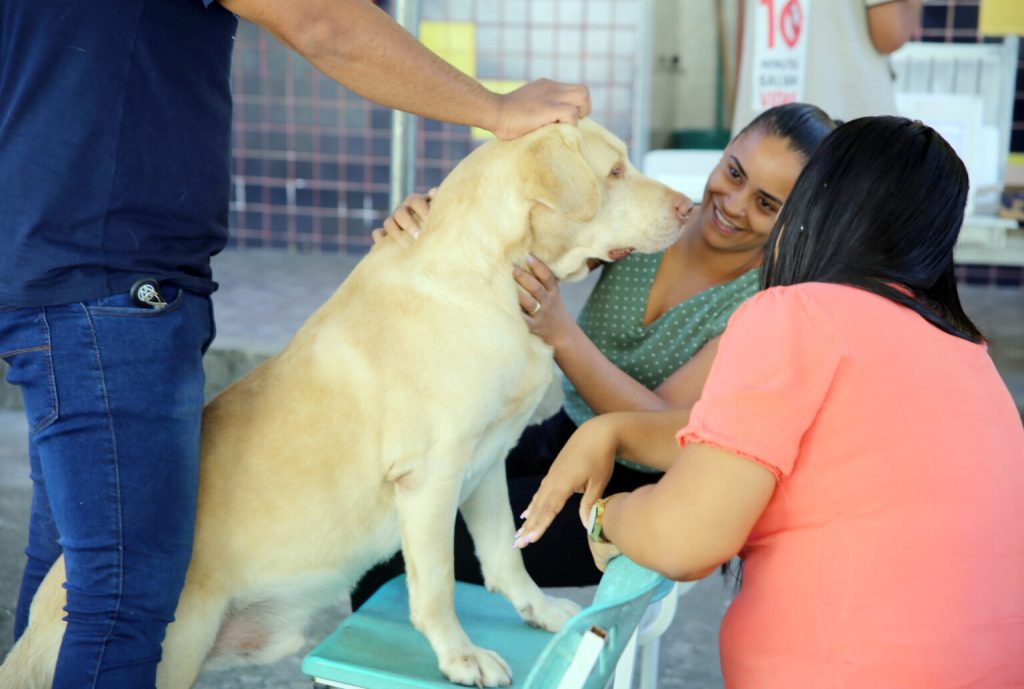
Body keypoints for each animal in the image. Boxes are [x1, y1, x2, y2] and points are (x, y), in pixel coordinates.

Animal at [2, 119, 688, 687]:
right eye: (615, 171)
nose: (688, 207)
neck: (488, 278)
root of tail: (32, 635)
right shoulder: (431, 479)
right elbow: (437, 586)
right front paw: (459, 658)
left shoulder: (487, 462)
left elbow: (504, 557)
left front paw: (538, 612)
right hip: (172, 652)